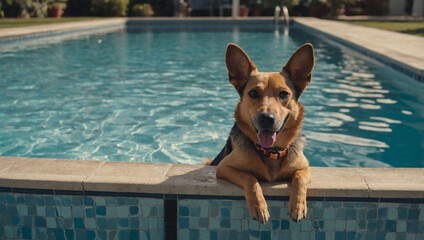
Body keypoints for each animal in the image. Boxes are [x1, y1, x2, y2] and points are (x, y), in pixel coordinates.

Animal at [210, 42, 314, 223]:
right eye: (253, 93)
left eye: (284, 94)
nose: (266, 118)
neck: (272, 151)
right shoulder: (224, 168)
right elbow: (250, 178)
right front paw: (260, 207)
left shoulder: (305, 168)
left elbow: (299, 177)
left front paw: (298, 205)